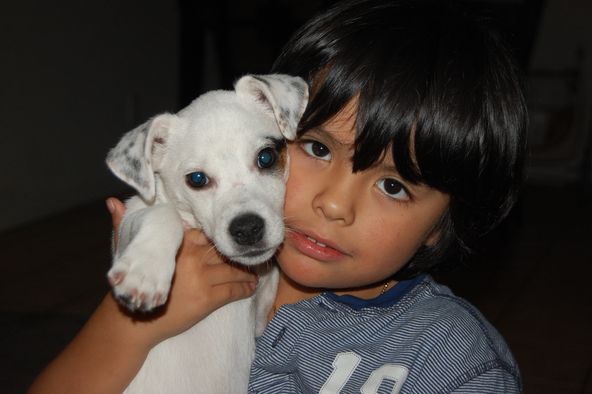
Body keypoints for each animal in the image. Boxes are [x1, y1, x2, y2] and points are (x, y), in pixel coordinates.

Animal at [106, 73, 308, 390]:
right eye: (197, 179)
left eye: (266, 158)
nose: (247, 229)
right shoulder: (130, 218)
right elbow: (162, 214)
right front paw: (144, 271)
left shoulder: (261, 314)